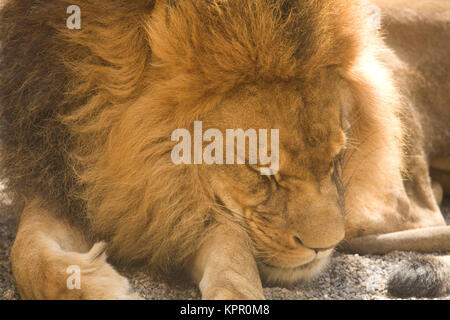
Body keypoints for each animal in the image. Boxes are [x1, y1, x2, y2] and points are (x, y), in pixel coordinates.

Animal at [0, 0, 448, 300]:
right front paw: (96, 285)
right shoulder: (70, 181)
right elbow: (25, 251)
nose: (322, 248)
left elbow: (232, 260)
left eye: (338, 159)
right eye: (262, 172)